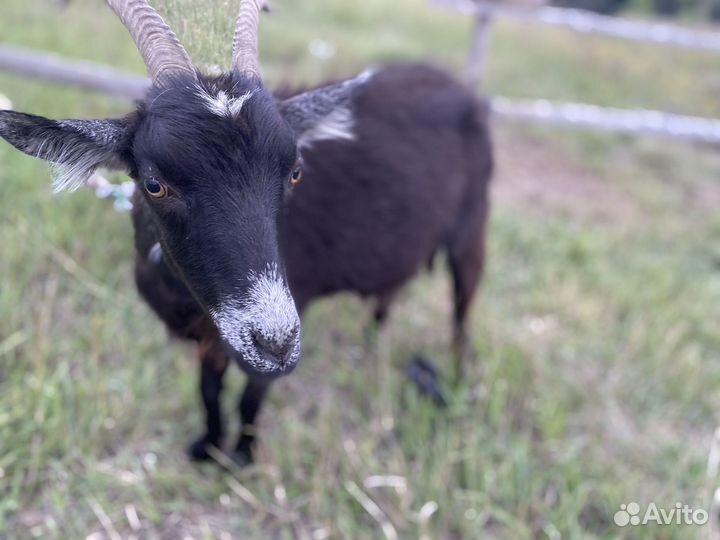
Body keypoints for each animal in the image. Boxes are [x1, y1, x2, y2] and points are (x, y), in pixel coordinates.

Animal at [0, 1, 492, 465]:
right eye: (155, 184)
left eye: (294, 172)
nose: (276, 343)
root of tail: (458, 84)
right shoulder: (211, 332)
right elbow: (208, 387)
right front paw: (207, 446)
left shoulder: (286, 307)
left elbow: (252, 394)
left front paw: (243, 454)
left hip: (473, 230)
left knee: (462, 314)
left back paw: (454, 381)